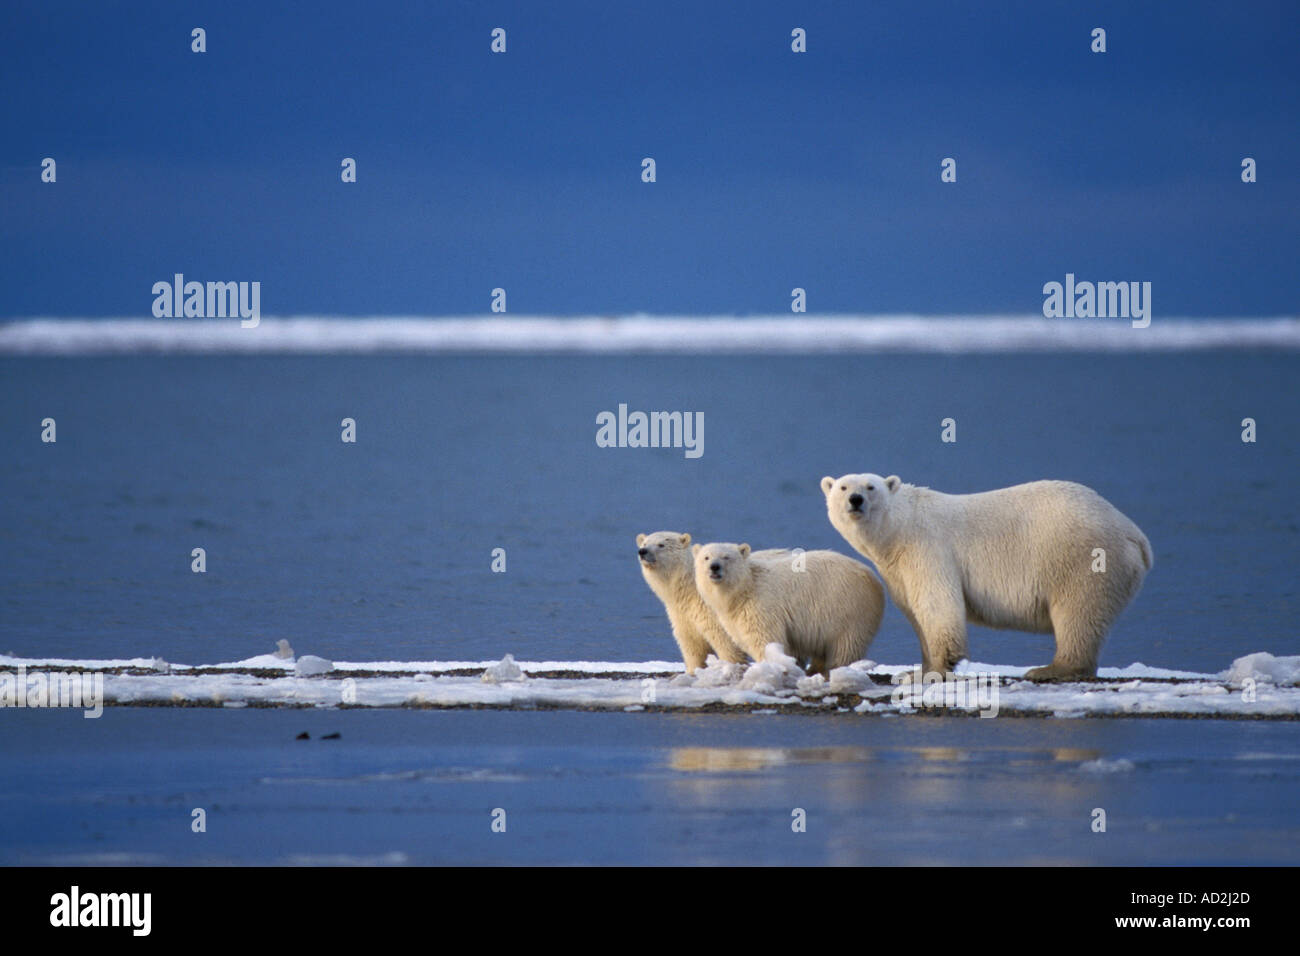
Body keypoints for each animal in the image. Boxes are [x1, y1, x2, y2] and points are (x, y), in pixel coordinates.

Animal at [631, 530, 748, 671]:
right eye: (644, 543)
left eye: (661, 544)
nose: (642, 551)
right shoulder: (683, 613)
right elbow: (692, 644)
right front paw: (693, 670)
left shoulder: (712, 611)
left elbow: (726, 642)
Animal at [691, 541, 883, 676]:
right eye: (706, 557)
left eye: (726, 557)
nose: (714, 567)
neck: (744, 590)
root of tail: (873, 577)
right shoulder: (735, 615)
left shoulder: (761, 606)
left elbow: (764, 639)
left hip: (849, 610)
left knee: (845, 646)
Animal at [816, 473, 1154, 681]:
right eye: (843, 487)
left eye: (870, 486)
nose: (855, 499)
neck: (899, 529)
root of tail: (1135, 534)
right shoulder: (897, 569)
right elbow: (915, 611)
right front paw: (916, 670)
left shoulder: (927, 548)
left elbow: (937, 605)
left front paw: (931, 672)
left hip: (1082, 558)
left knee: (1078, 613)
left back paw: (1051, 668)